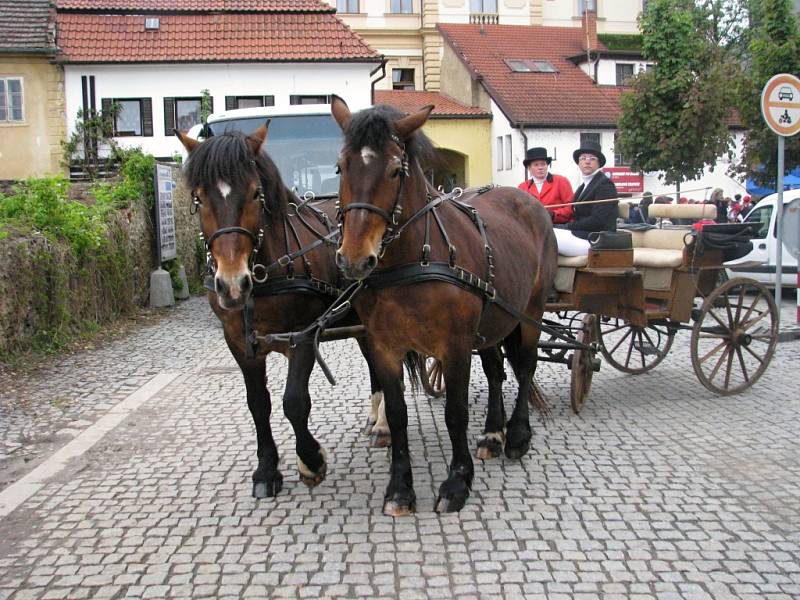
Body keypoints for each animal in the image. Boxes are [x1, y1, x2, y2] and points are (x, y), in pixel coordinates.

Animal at [178, 122, 384, 496]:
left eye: (255, 194)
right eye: (199, 198)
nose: (233, 284)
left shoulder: (301, 337)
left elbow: (294, 401)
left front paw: (311, 461)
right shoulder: (239, 343)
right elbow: (258, 403)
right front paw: (266, 470)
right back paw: (378, 419)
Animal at [332, 96, 556, 512]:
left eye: (395, 170)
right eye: (341, 166)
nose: (354, 259)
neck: (413, 261)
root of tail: (526, 199)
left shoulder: (455, 346)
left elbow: (455, 412)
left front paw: (457, 482)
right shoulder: (384, 346)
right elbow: (397, 414)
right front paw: (400, 487)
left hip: (529, 313)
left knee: (524, 367)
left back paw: (517, 435)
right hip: (492, 321)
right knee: (497, 372)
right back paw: (493, 435)